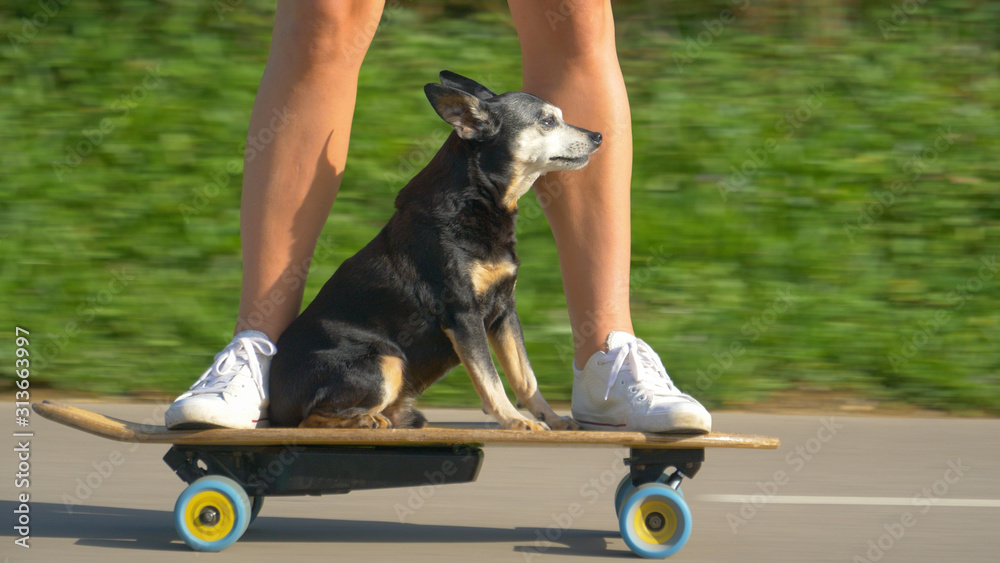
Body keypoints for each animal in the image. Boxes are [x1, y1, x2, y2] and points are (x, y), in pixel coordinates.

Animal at [268, 70, 600, 432]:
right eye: (548, 121)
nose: (598, 135)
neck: (478, 200)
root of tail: (275, 402)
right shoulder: (463, 313)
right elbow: (491, 379)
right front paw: (513, 420)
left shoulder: (504, 310)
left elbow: (525, 377)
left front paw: (551, 418)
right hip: (386, 361)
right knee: (309, 419)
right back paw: (368, 420)